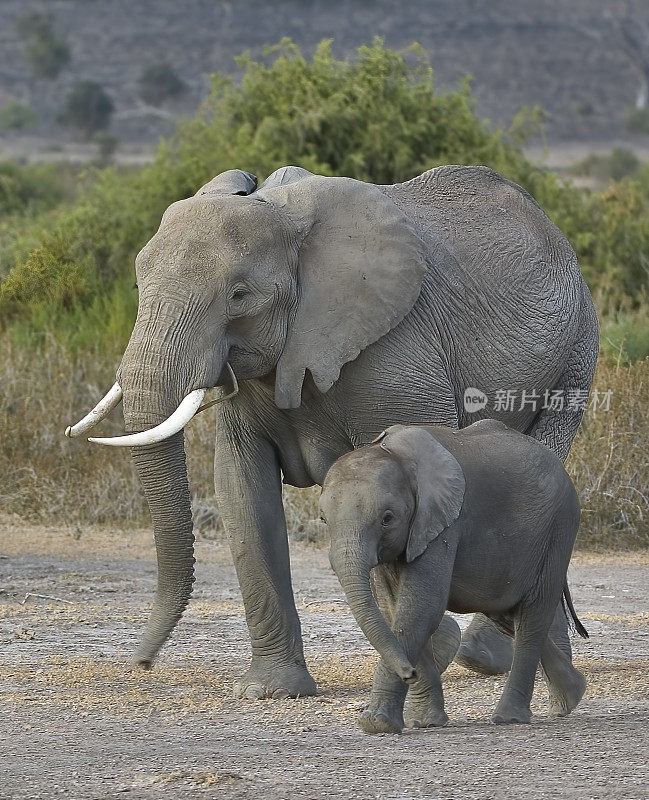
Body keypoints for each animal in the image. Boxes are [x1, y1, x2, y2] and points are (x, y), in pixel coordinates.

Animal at [64, 164, 596, 700]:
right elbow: (242, 491)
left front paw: (430, 650)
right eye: (138, 283)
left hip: (575, 351)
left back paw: (484, 655)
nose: (142, 662)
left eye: (239, 296)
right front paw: (273, 690)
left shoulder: (398, 354)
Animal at [318, 422, 588, 736]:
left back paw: (510, 717)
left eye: (387, 518)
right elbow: (394, 610)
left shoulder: (443, 525)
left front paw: (376, 724)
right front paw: (425, 723)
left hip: (558, 529)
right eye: (324, 520)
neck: (395, 455)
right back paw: (571, 696)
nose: (408, 673)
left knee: (532, 617)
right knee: (508, 615)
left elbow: (421, 608)